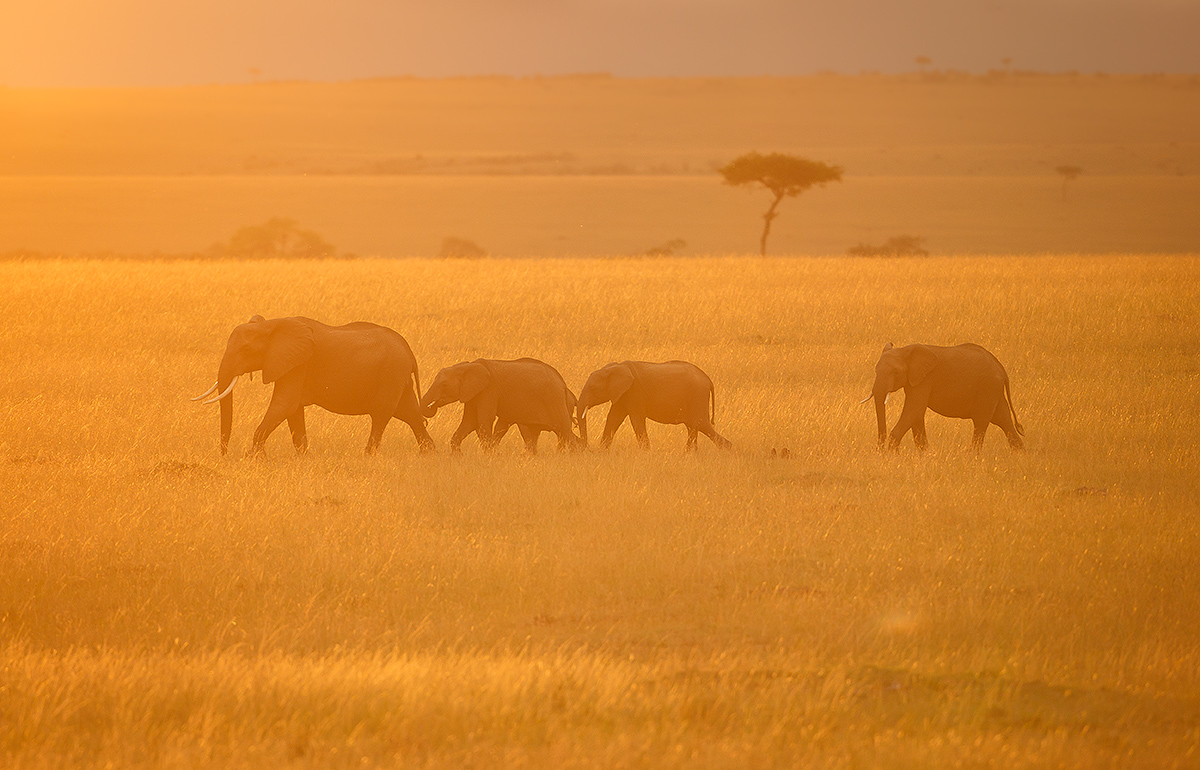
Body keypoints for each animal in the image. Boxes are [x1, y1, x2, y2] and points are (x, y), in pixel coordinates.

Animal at [194, 314, 439, 453]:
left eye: (246, 350)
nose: (225, 455)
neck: (272, 325)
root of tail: (410, 352)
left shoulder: (297, 365)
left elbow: (284, 406)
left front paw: (254, 459)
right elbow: (293, 412)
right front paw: (303, 460)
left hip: (391, 373)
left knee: (382, 416)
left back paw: (368, 457)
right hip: (399, 378)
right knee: (410, 415)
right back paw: (430, 456)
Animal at [420, 357, 578, 453]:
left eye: (444, 385)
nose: (431, 407)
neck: (469, 365)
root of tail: (563, 385)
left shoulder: (488, 391)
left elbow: (483, 421)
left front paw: (489, 456)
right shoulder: (473, 394)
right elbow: (469, 422)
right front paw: (457, 457)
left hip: (555, 401)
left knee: (565, 432)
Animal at [573, 359, 729, 450]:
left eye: (593, 389)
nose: (585, 446)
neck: (614, 367)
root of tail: (708, 380)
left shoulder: (633, 392)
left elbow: (636, 420)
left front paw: (646, 453)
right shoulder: (622, 394)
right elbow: (613, 418)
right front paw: (602, 451)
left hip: (697, 396)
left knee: (701, 424)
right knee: (693, 427)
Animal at [868, 340, 1027, 450]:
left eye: (895, 373)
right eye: (875, 371)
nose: (879, 451)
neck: (905, 350)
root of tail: (1002, 369)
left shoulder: (925, 379)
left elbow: (914, 410)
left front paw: (892, 455)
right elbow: (916, 415)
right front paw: (924, 455)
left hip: (988, 387)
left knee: (981, 423)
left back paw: (973, 458)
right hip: (994, 390)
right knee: (1004, 420)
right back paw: (1020, 455)